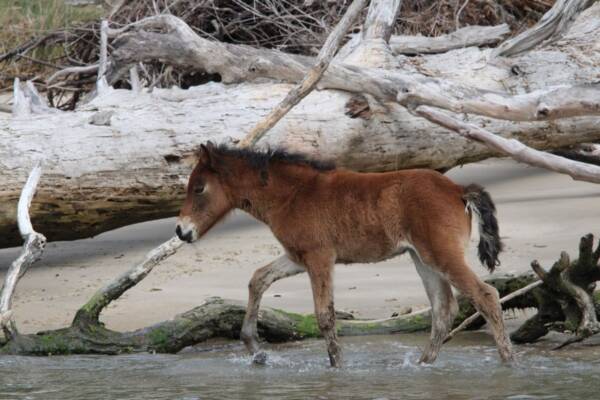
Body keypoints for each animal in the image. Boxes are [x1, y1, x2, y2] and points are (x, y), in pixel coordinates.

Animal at [176, 142, 512, 368]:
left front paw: (337, 366)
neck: (292, 195)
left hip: (442, 256)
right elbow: (258, 278)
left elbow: (325, 315)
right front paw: (254, 347)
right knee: (444, 309)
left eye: (199, 188)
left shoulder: (319, 258)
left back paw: (508, 361)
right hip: (423, 259)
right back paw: (422, 364)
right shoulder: (297, 257)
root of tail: (458, 189)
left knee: (486, 295)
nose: (181, 231)